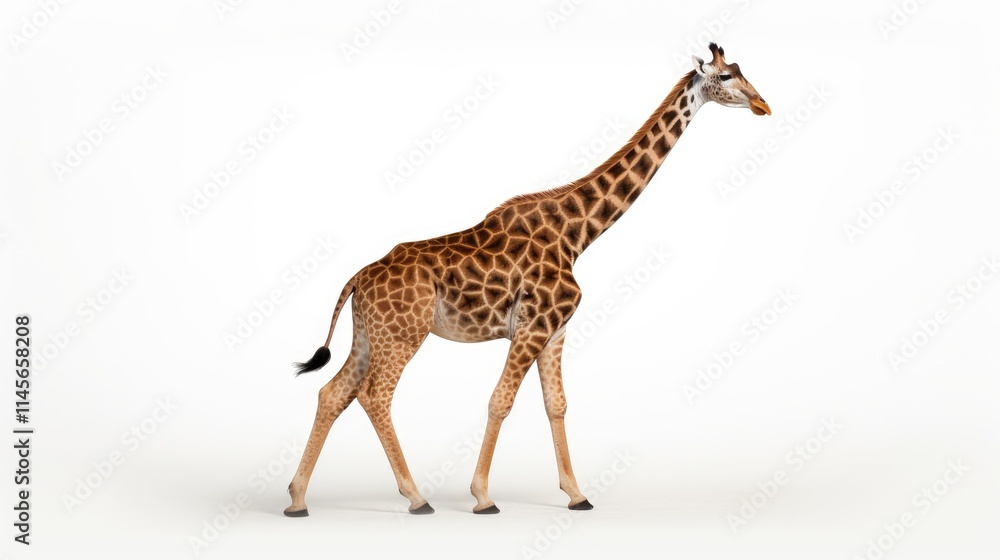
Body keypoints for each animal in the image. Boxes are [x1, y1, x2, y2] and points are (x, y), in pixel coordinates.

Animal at [284, 43, 769, 517]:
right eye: (726, 76)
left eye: (742, 69)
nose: (762, 104)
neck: (576, 235)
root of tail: (357, 278)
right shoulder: (533, 326)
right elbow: (500, 401)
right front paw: (482, 497)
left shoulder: (555, 330)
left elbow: (557, 404)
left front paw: (576, 494)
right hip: (404, 334)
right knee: (374, 396)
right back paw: (416, 497)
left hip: (371, 334)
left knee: (332, 392)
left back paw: (297, 498)